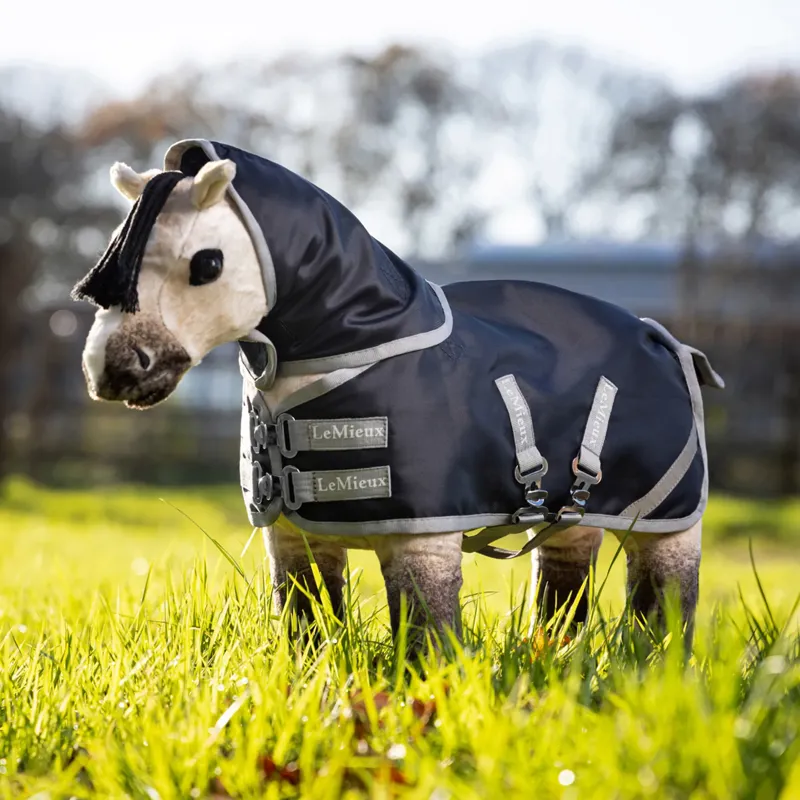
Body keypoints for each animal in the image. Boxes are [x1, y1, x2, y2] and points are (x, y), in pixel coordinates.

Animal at [72, 139, 724, 655]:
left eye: (207, 263)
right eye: (116, 254)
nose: (113, 370)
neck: (360, 349)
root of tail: (664, 339)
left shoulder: (422, 540)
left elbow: (425, 633)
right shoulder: (294, 536)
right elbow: (308, 621)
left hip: (665, 522)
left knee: (666, 599)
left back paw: (654, 666)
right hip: (572, 518)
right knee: (564, 586)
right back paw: (553, 656)